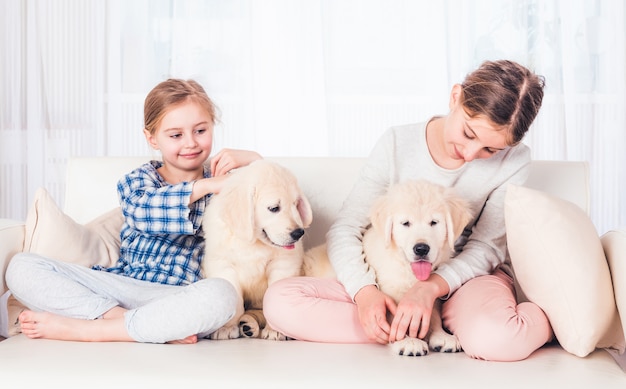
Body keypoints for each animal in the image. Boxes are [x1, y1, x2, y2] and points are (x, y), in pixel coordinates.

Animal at [201, 160, 310, 340]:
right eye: (274, 208)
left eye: (295, 205)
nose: (299, 233)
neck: (253, 243)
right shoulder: (223, 265)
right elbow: (235, 298)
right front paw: (227, 327)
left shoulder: (284, 264)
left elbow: (274, 299)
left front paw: (275, 330)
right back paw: (246, 325)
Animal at [300, 179, 470, 354]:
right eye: (406, 223)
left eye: (434, 223)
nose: (421, 249)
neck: (406, 267)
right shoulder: (389, 291)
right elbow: (395, 319)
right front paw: (407, 341)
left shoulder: (428, 293)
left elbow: (433, 314)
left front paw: (441, 335)